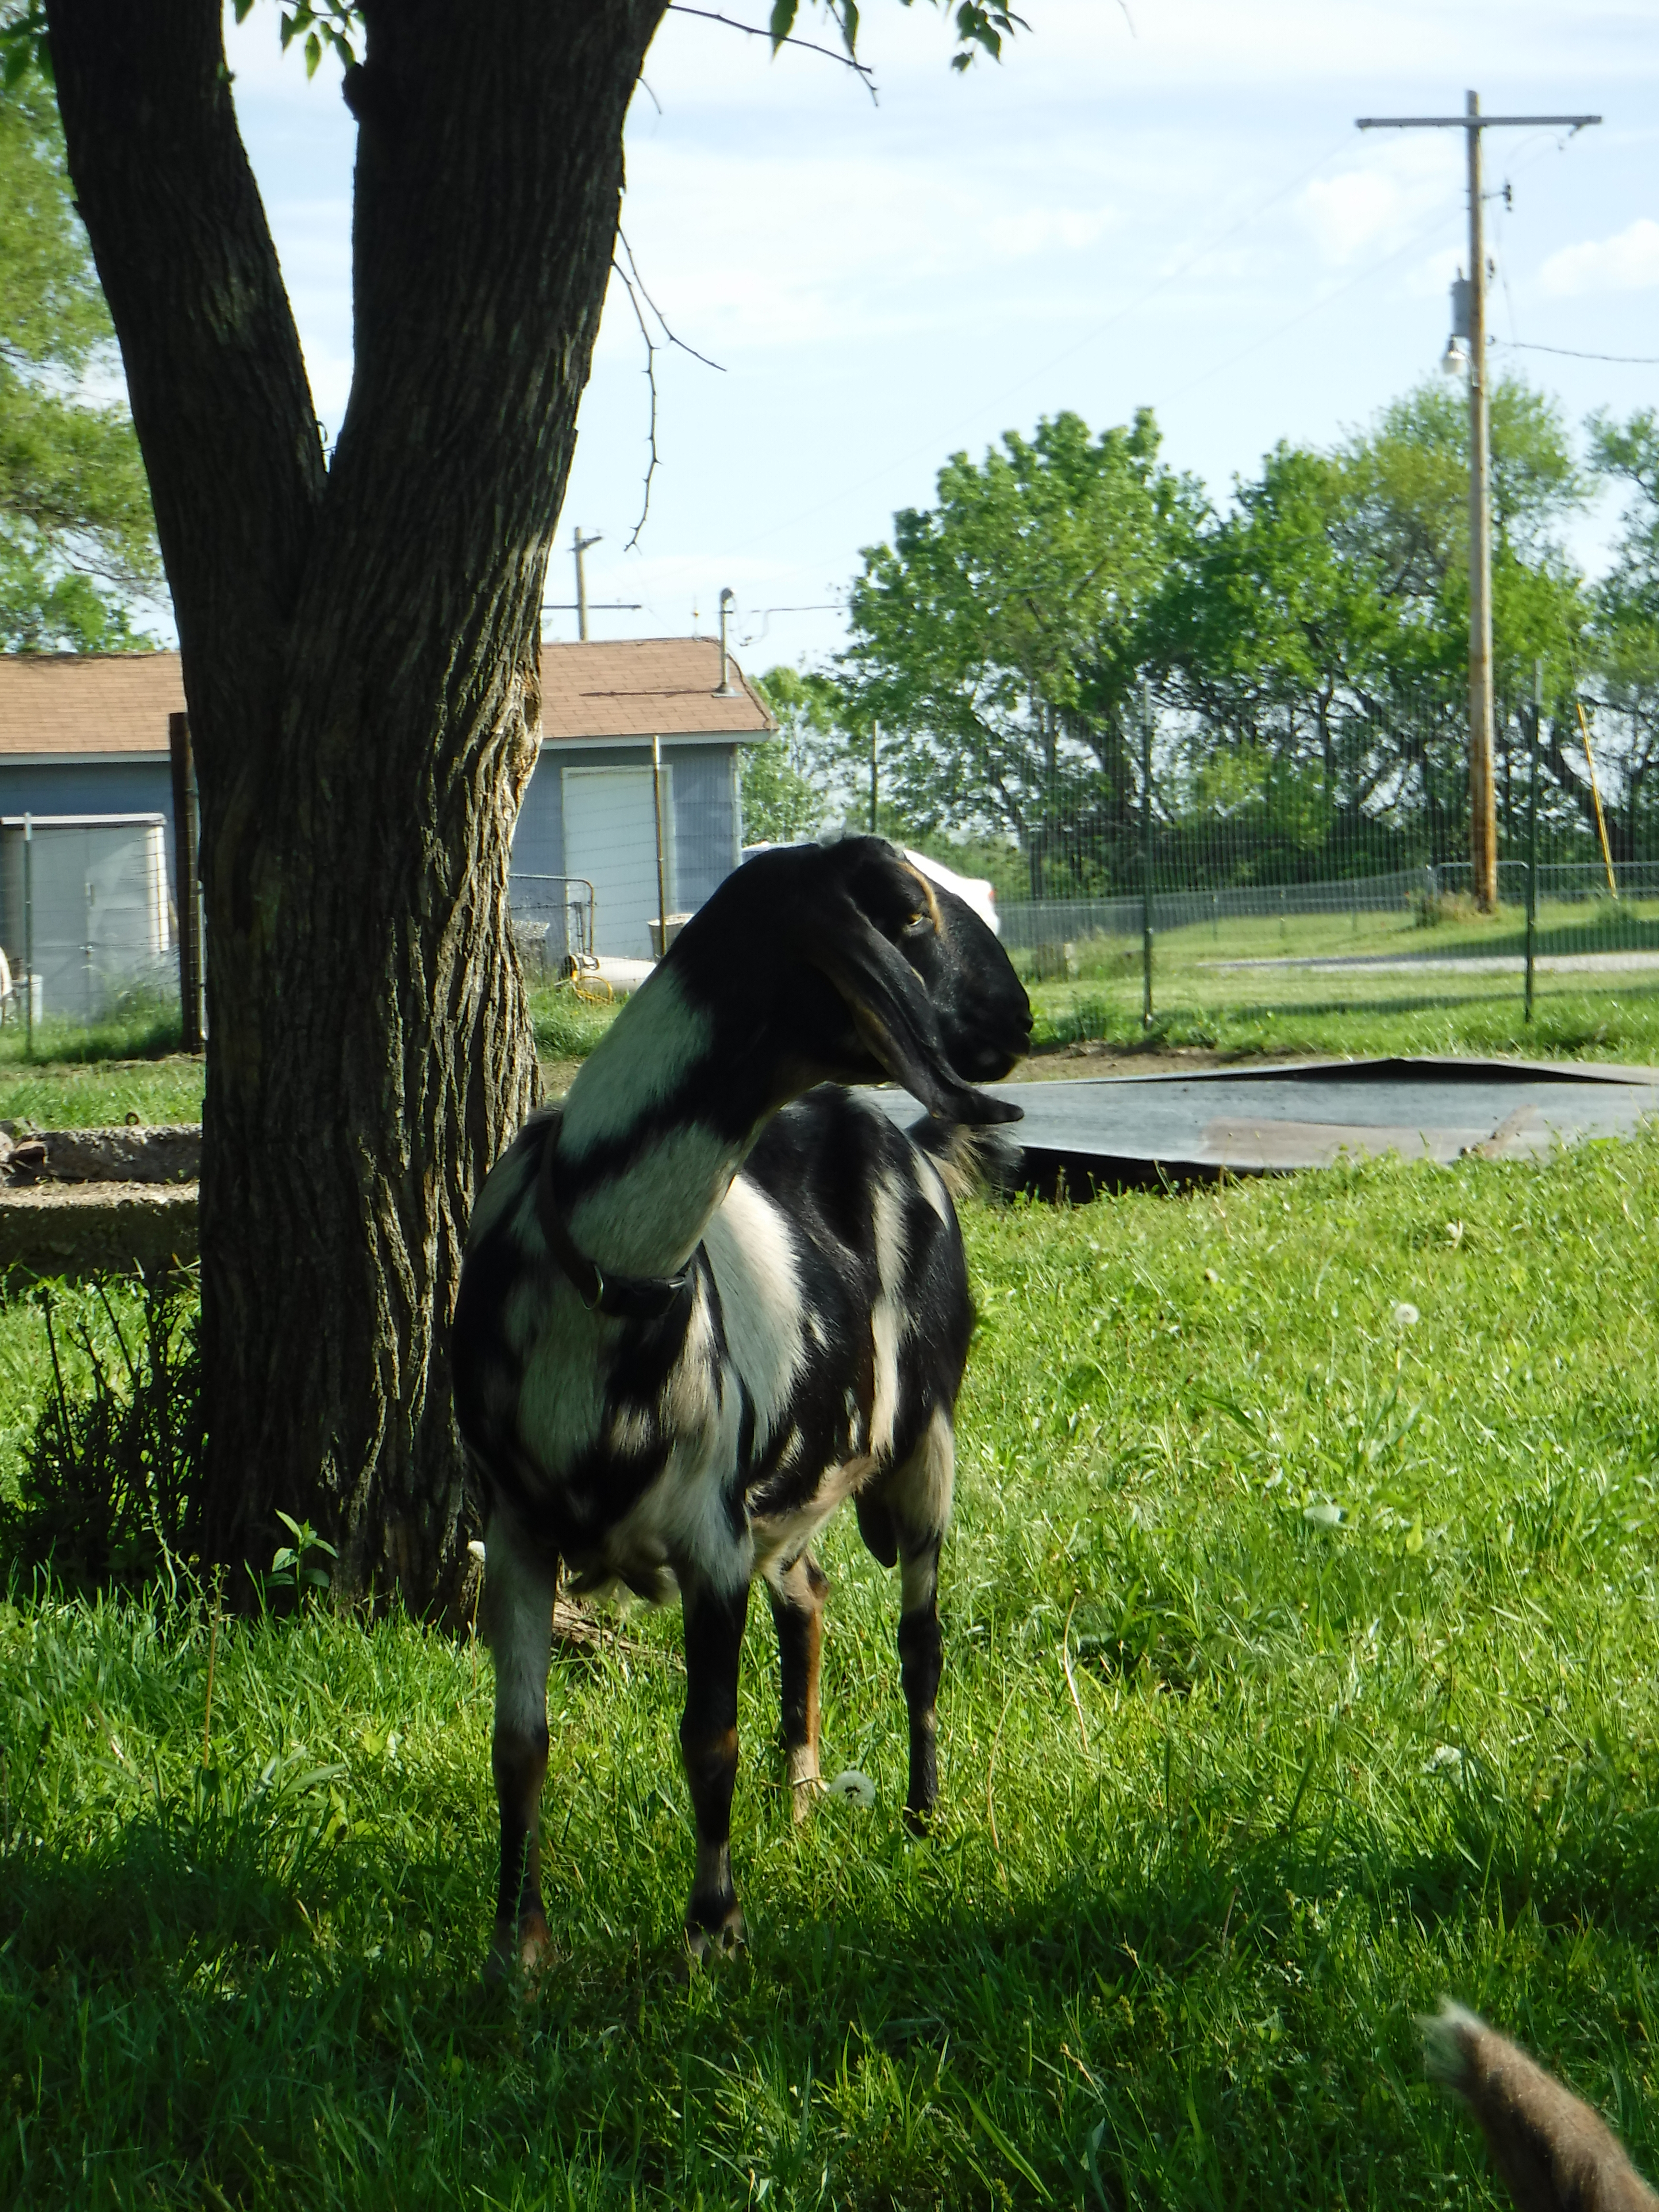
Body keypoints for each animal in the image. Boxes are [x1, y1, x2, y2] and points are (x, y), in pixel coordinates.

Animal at [449, 831, 1035, 1973]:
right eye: (907, 909)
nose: (1020, 1018)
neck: (605, 1268)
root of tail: (906, 1140)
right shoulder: (518, 1528)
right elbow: (519, 1742)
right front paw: (516, 1946)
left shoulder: (709, 1538)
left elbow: (705, 1737)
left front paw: (712, 1929)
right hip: (790, 1489)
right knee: (807, 1597)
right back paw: (799, 1792)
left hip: (928, 1446)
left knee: (922, 1644)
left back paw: (921, 1819)